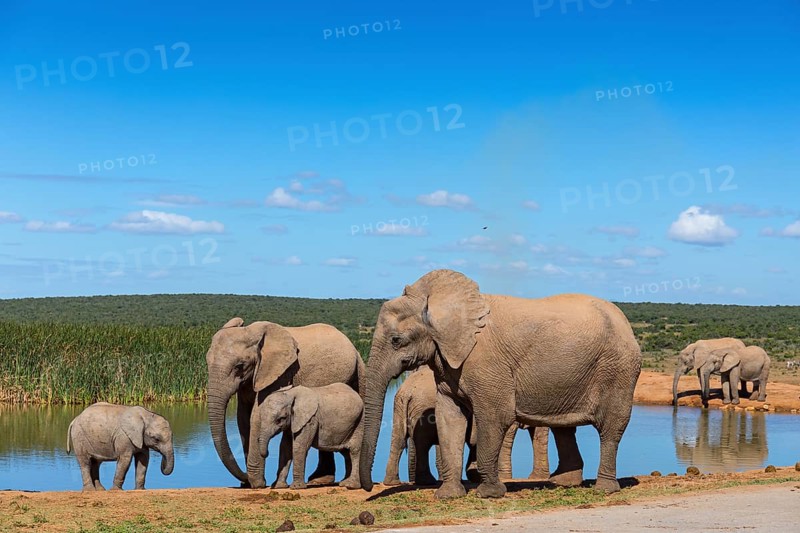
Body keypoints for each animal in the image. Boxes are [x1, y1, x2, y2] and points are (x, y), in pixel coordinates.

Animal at [206, 317, 363, 489]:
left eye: (239, 366)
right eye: (206, 362)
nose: (244, 479)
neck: (252, 332)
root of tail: (355, 349)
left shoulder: (281, 373)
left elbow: (256, 415)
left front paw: (257, 484)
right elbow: (243, 418)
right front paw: (250, 483)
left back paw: (322, 480)